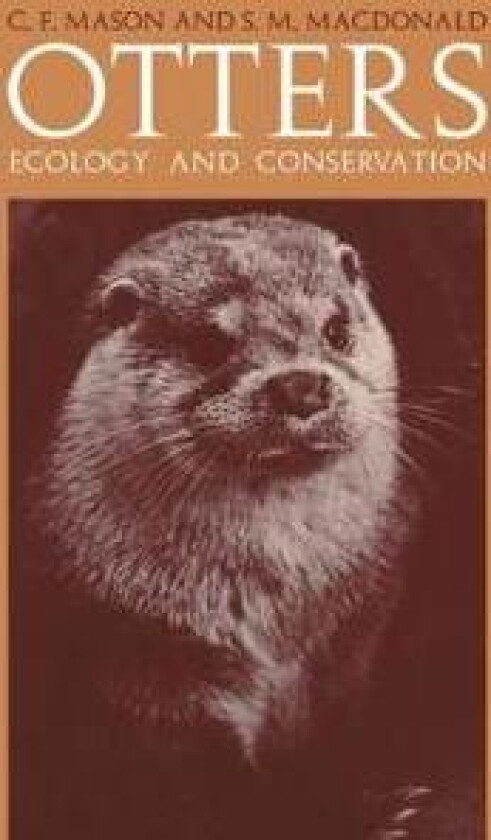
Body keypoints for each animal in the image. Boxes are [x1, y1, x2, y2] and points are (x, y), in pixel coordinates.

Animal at [28, 214, 416, 837]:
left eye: (336, 330)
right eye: (211, 345)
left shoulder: (354, 633)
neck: (279, 615)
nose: (301, 385)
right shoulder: (139, 659)